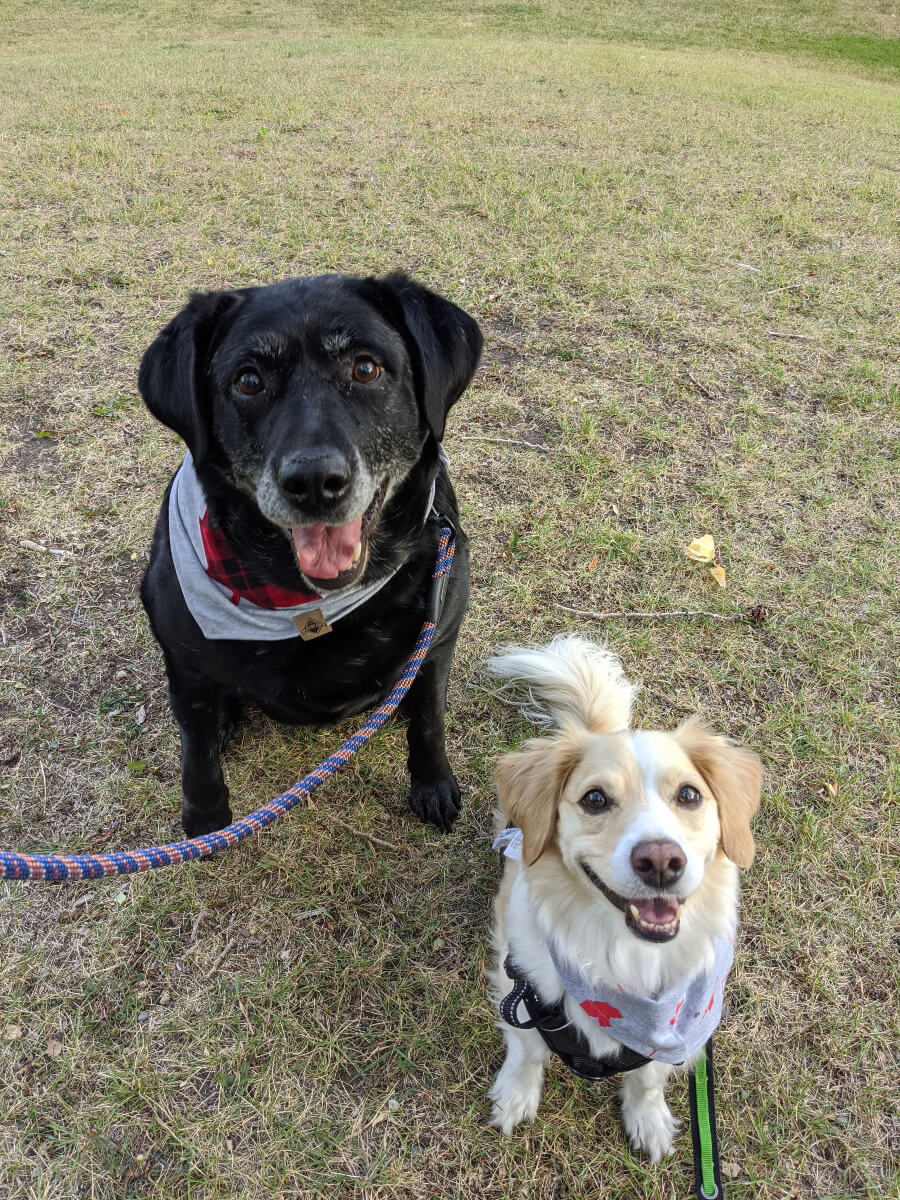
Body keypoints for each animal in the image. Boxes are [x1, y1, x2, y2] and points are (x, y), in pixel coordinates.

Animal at [138, 272, 482, 835]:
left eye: (365, 368)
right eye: (248, 380)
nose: (315, 481)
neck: (307, 607)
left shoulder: (437, 639)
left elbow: (429, 722)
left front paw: (432, 785)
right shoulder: (186, 668)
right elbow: (196, 755)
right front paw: (207, 822)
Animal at [487, 638, 763, 1161]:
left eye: (689, 795)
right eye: (595, 799)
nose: (660, 861)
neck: (627, 958)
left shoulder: (677, 1035)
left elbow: (648, 1078)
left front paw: (648, 1120)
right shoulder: (522, 989)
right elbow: (526, 1052)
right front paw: (514, 1097)